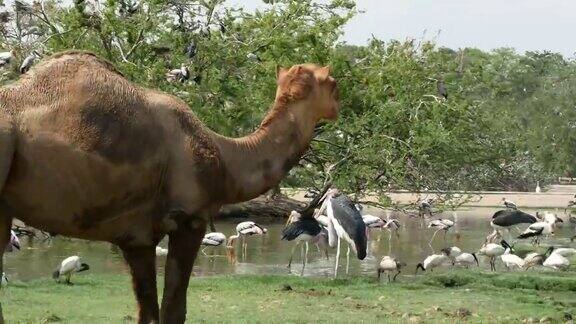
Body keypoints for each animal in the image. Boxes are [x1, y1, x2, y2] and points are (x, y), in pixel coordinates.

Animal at [0, 50, 340, 322]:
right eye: (334, 84)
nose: (339, 107)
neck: (224, 157)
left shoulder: (136, 238)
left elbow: (148, 312)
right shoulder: (190, 220)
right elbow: (174, 311)